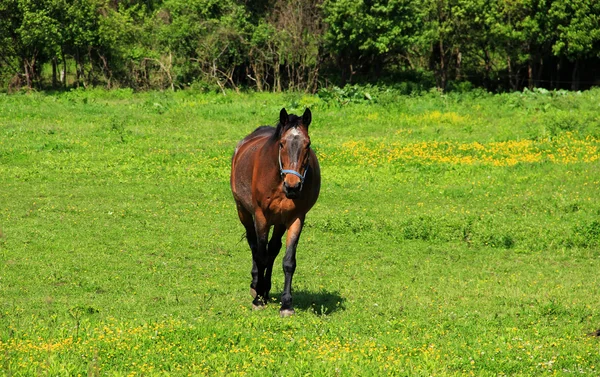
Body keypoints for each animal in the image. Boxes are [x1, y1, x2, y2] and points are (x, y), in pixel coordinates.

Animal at [230, 107, 322, 316]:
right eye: (281, 144)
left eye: (308, 144)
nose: (293, 186)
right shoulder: (261, 217)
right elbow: (260, 256)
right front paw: (258, 299)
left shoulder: (296, 218)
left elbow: (288, 261)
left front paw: (286, 304)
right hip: (244, 212)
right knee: (255, 246)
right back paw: (256, 286)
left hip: (279, 222)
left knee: (272, 250)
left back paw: (266, 288)